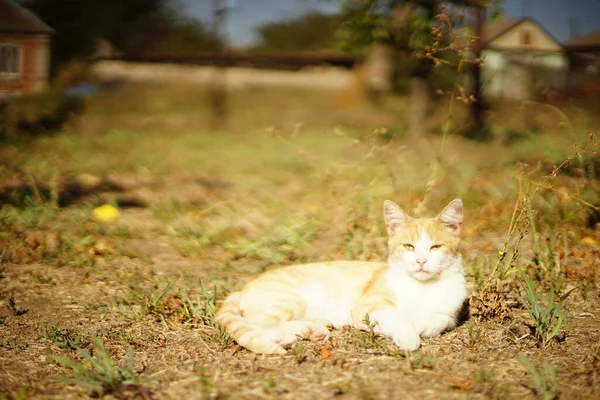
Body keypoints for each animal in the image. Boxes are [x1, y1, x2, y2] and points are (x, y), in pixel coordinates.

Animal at [216, 199, 468, 354]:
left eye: (435, 247)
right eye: (409, 246)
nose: (421, 261)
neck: (423, 287)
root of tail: (243, 288)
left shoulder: (449, 315)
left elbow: (436, 321)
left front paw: (420, 326)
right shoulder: (367, 309)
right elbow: (398, 319)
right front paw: (409, 336)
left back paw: (310, 330)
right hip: (289, 300)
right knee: (257, 324)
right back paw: (285, 338)